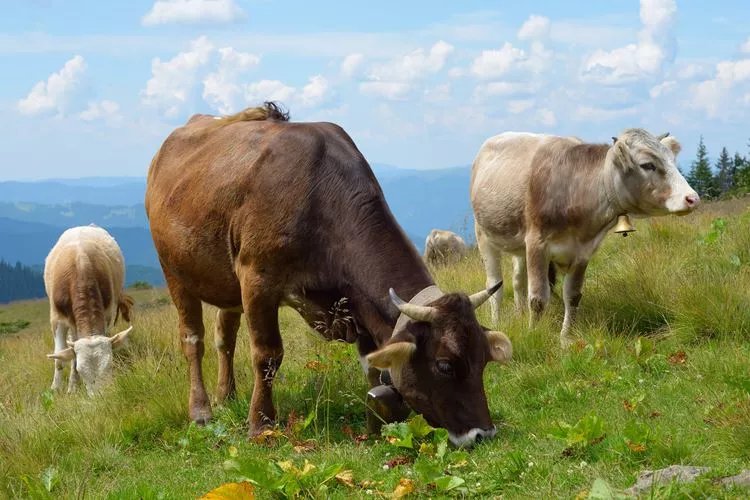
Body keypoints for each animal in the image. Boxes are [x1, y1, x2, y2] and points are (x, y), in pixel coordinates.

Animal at [44, 226, 135, 394]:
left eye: (110, 365)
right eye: (81, 370)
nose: (101, 396)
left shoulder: (107, 314)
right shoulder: (57, 319)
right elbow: (59, 359)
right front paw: (58, 389)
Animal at [145, 102, 516, 446]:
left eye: (483, 359)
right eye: (444, 365)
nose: (482, 434)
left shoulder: (356, 304)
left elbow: (373, 366)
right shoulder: (257, 279)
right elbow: (267, 355)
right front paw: (261, 425)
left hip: (226, 282)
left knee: (225, 337)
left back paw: (227, 395)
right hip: (174, 270)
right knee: (193, 340)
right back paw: (202, 410)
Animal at [472, 129, 704, 346]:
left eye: (672, 160)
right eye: (648, 165)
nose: (692, 198)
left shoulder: (583, 251)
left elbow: (572, 296)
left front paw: (565, 337)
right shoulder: (537, 243)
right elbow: (537, 298)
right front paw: (533, 334)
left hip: (519, 247)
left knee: (518, 281)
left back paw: (519, 315)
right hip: (484, 236)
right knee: (495, 285)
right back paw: (497, 322)